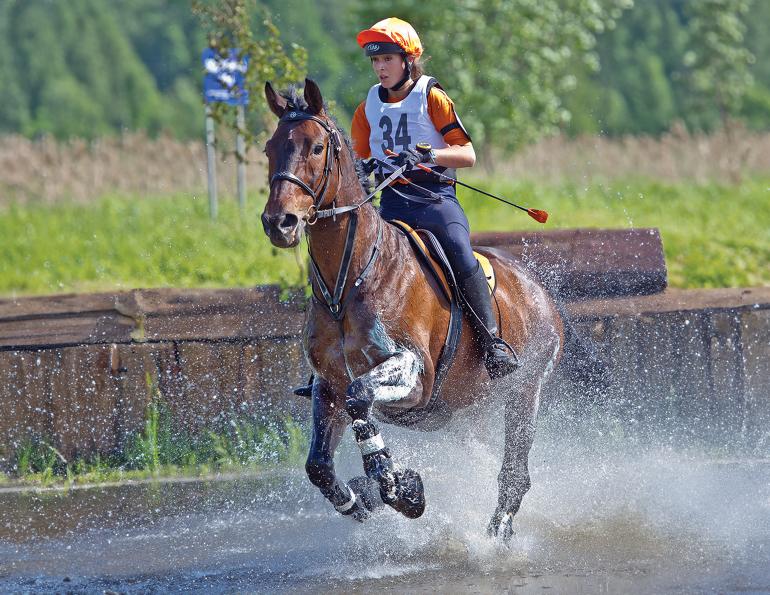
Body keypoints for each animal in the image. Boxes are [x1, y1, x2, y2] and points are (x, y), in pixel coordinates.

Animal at [261, 78, 565, 542]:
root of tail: (540, 291)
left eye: (316, 147)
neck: (346, 286)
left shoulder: (414, 375)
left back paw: (495, 535)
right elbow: (319, 466)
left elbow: (361, 398)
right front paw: (363, 497)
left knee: (515, 473)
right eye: (269, 148)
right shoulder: (327, 386)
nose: (280, 223)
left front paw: (400, 489)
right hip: (469, 408)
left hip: (524, 389)